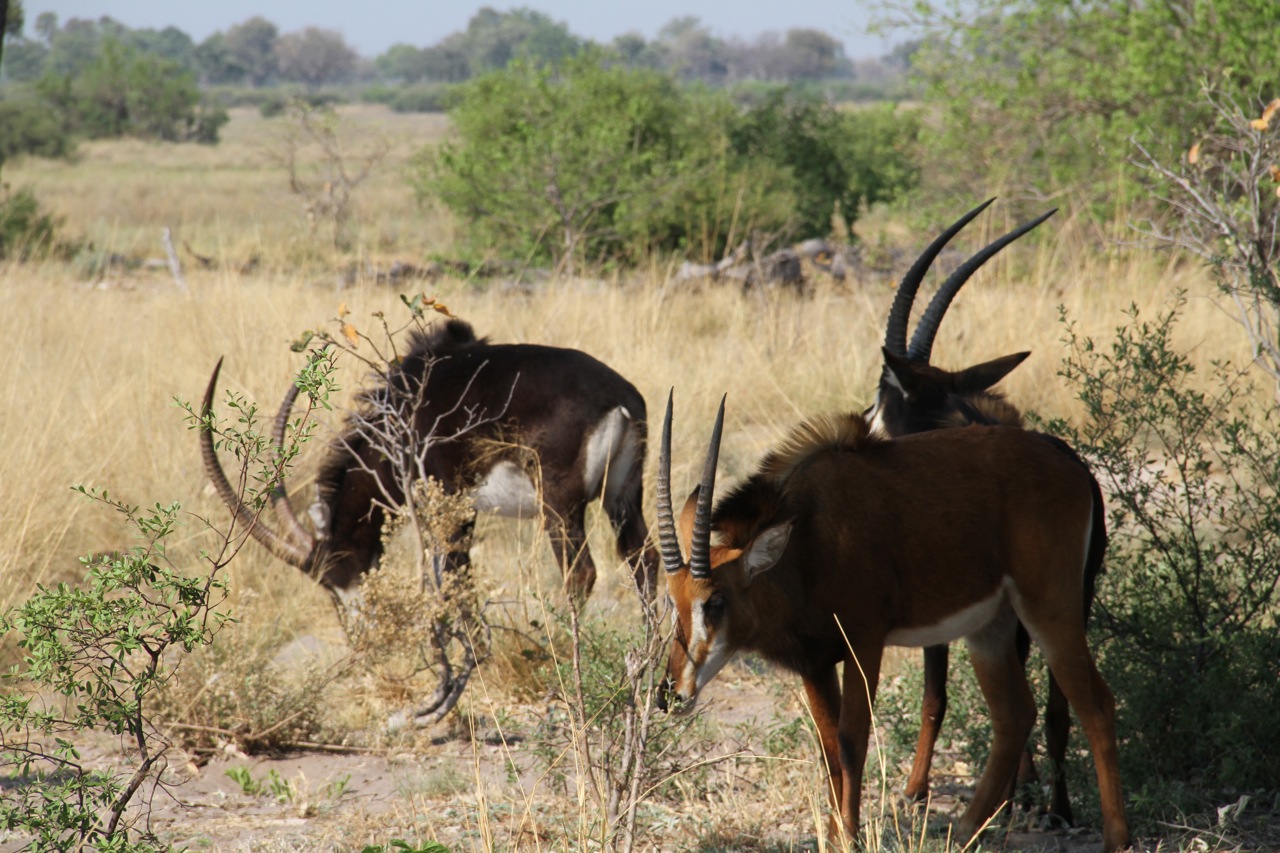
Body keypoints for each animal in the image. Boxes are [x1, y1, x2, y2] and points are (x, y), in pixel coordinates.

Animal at [202, 315, 660, 601]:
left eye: (329, 578)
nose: (358, 632)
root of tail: (618, 398)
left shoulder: (446, 503)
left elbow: (454, 579)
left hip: (560, 506)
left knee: (580, 573)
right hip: (623, 498)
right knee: (646, 562)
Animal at [660, 397, 1131, 850]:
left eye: (715, 600)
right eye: (671, 599)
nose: (671, 694)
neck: (809, 543)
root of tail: (1072, 466)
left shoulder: (863, 643)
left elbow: (852, 741)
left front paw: (849, 838)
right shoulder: (815, 662)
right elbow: (828, 748)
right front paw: (834, 835)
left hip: (1050, 606)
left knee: (1095, 704)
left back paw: (1115, 839)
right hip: (991, 629)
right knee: (1015, 714)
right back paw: (964, 831)